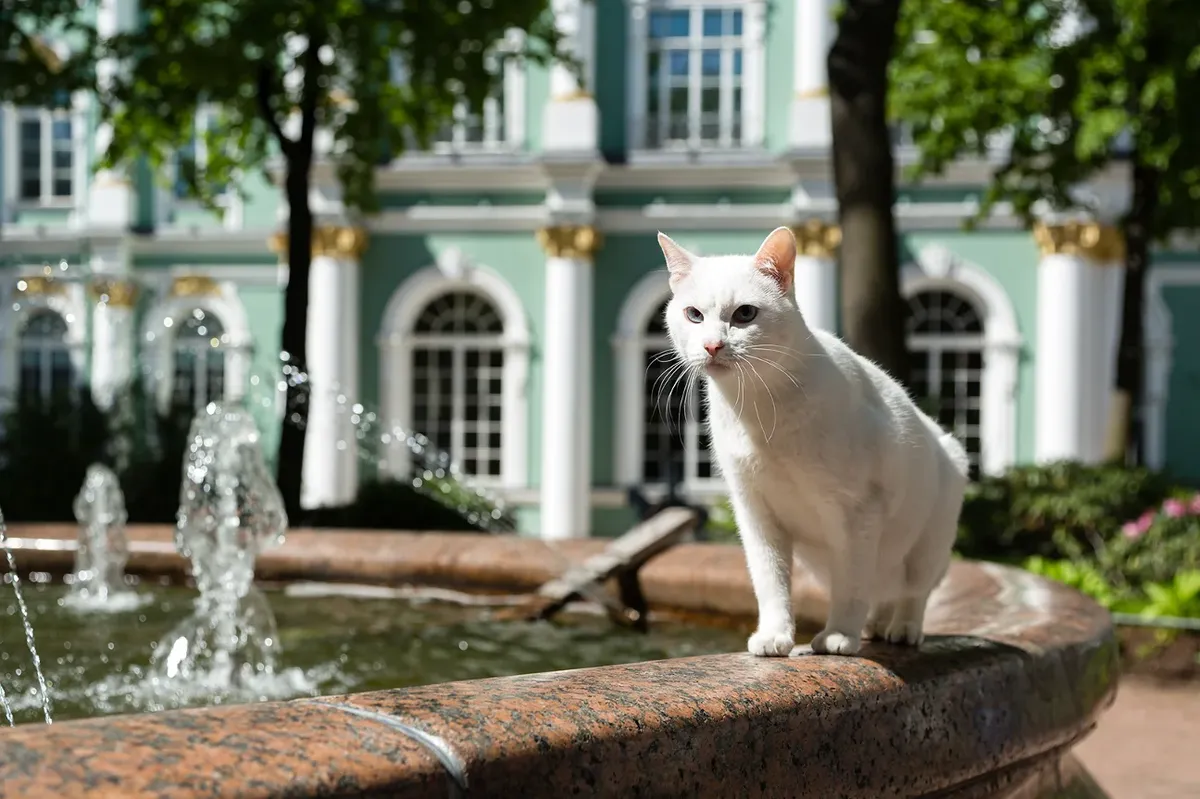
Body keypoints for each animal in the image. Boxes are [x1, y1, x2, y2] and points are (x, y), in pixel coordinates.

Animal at [662, 224, 969, 652]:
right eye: (694, 315)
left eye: (744, 314)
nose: (712, 345)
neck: (760, 407)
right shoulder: (755, 513)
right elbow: (771, 581)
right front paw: (775, 636)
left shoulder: (858, 511)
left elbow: (852, 585)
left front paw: (839, 635)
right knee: (881, 593)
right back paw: (874, 627)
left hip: (927, 546)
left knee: (911, 593)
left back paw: (903, 630)